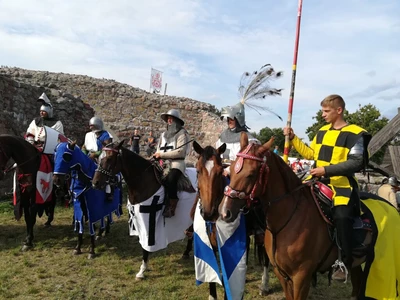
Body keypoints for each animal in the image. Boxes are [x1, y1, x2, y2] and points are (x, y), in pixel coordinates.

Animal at [92, 142, 195, 280]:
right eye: (98, 158)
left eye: (109, 158)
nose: (95, 183)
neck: (143, 181)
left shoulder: (148, 220)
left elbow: (146, 246)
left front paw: (142, 270)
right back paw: (186, 253)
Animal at [191, 141, 270, 300]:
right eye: (197, 170)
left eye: (220, 171)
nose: (207, 212)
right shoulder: (210, 244)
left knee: (266, 257)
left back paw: (264, 285)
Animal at [219, 134, 400, 300]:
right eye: (231, 169)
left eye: (251, 174)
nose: (224, 212)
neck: (286, 219)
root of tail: (392, 207)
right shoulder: (282, 275)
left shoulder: (301, 277)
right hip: (355, 264)